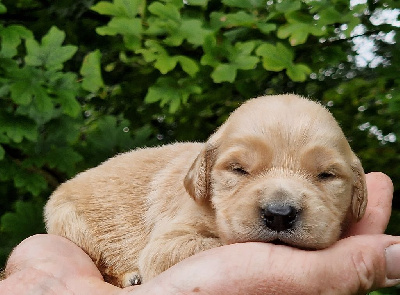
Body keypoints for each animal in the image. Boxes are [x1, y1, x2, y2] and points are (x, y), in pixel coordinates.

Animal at [44, 94, 368, 286]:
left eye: (326, 175)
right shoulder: (167, 243)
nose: (279, 214)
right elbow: (213, 243)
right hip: (68, 220)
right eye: (238, 169)